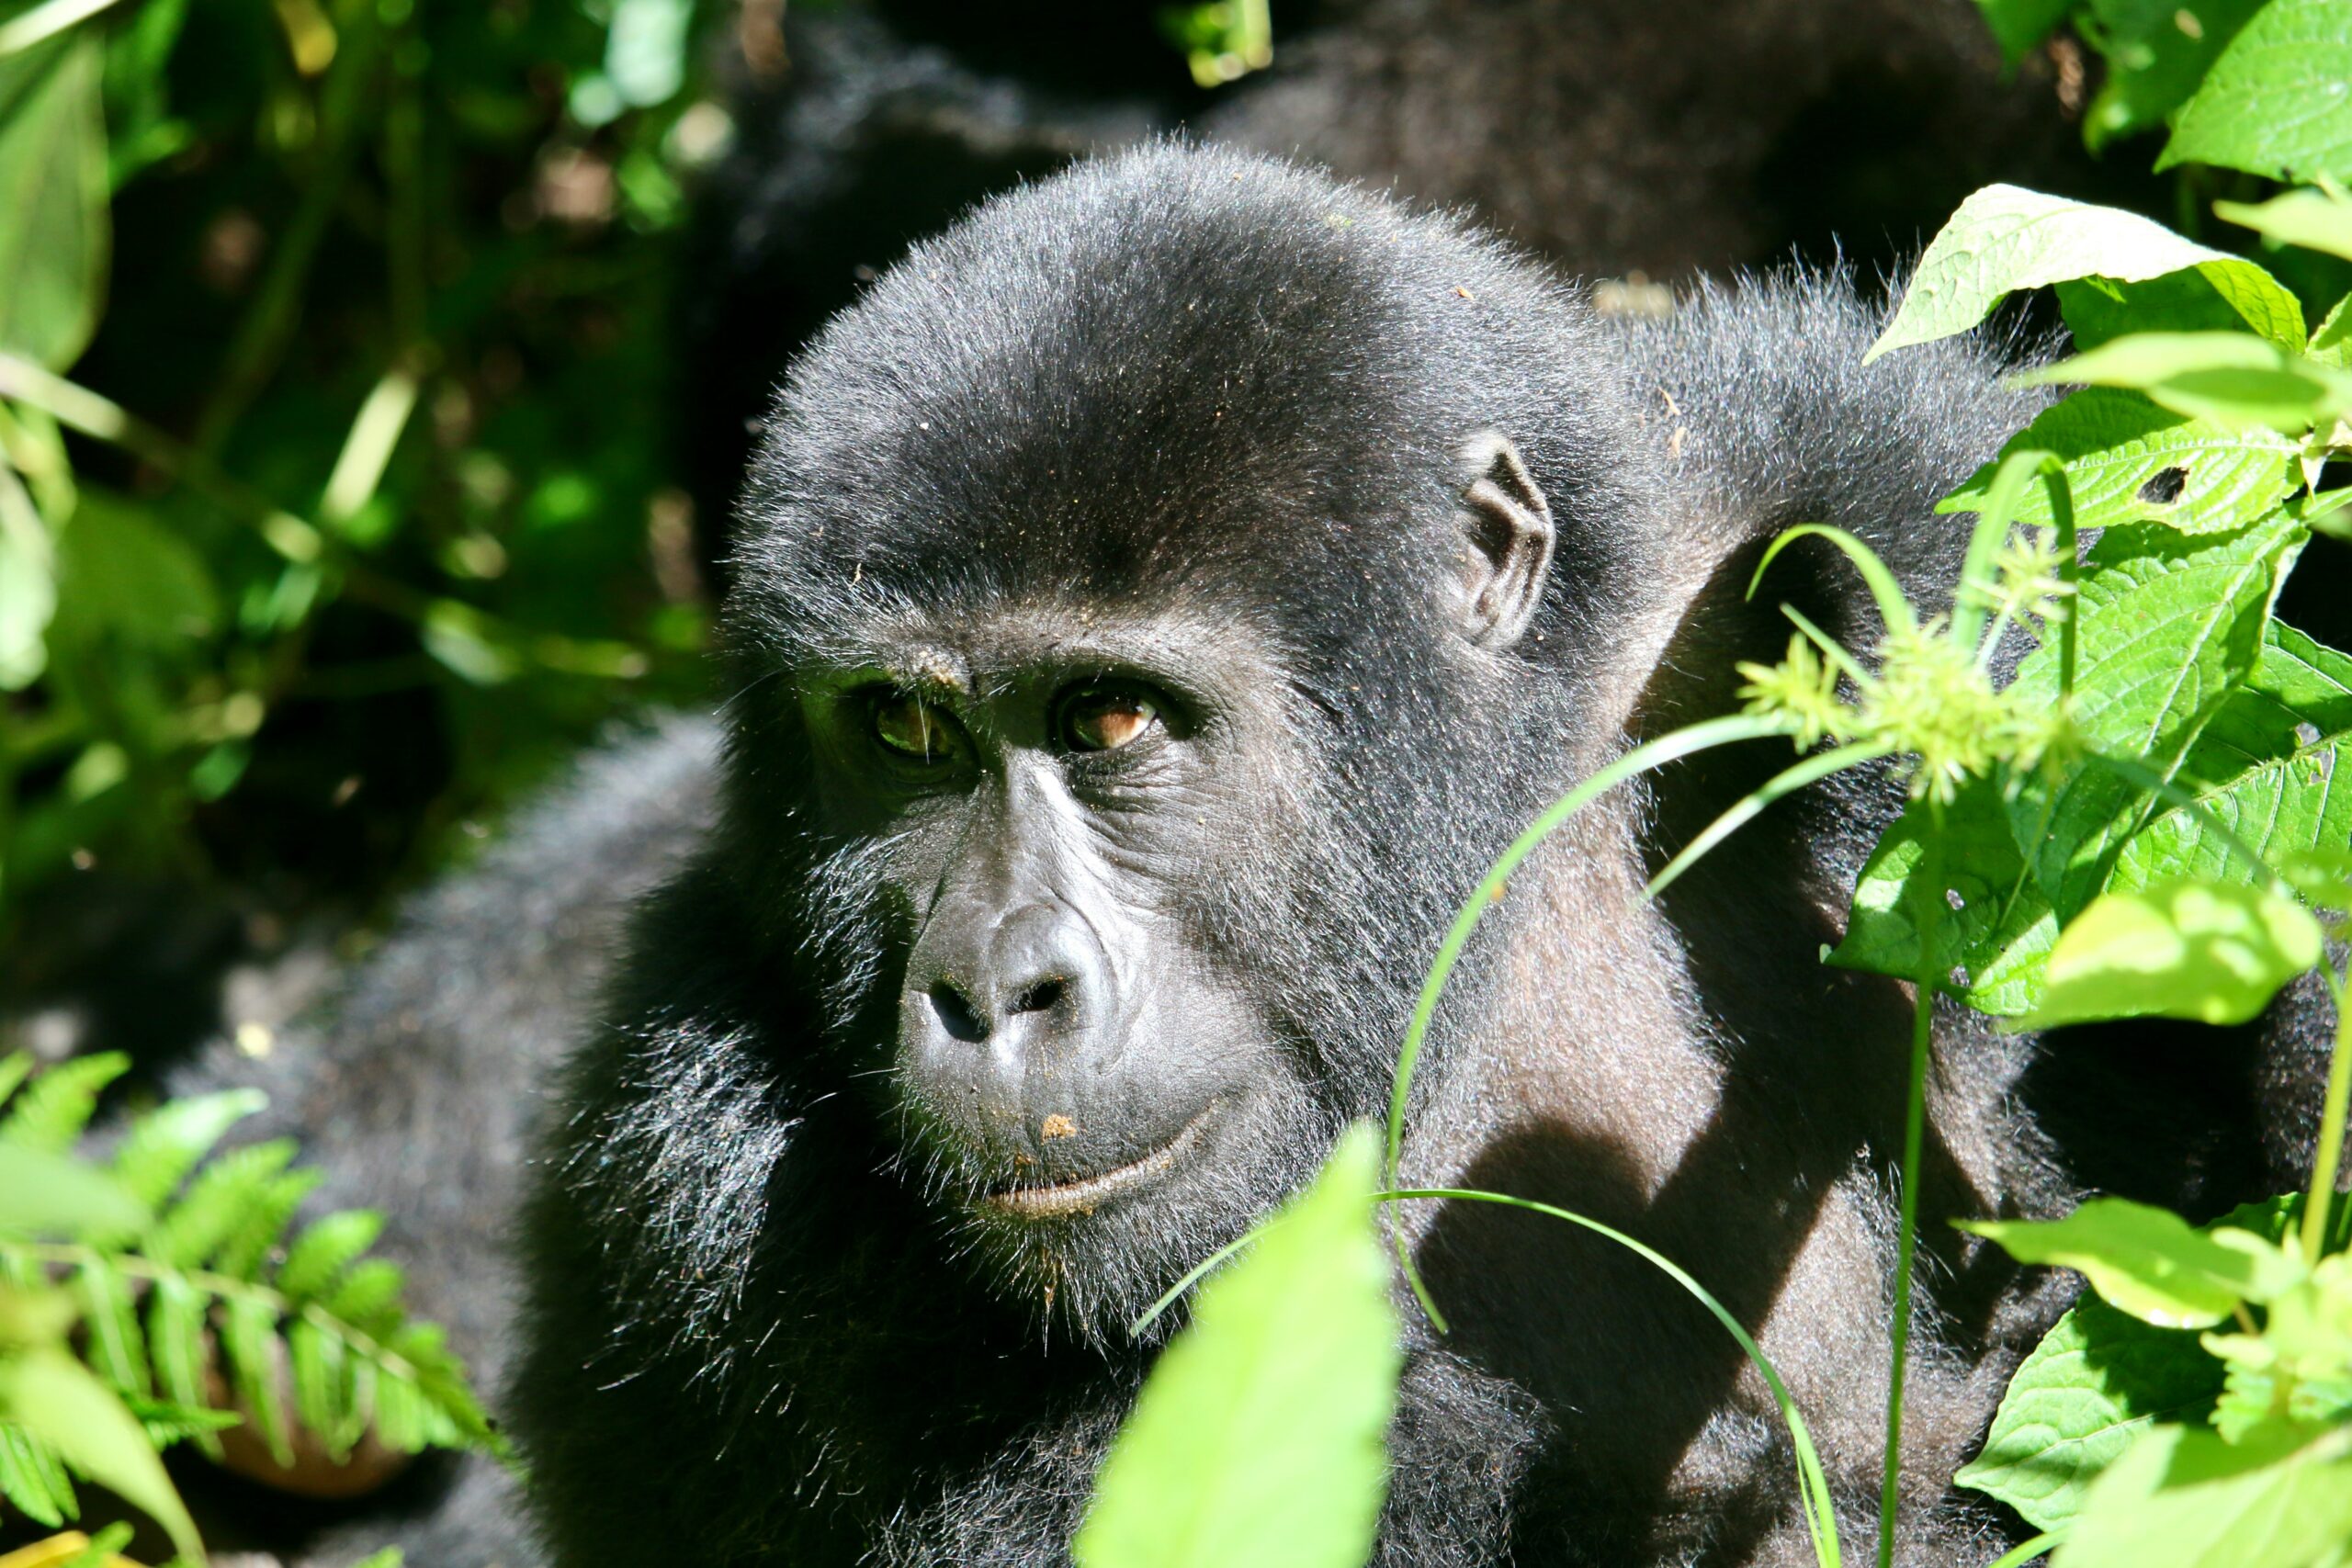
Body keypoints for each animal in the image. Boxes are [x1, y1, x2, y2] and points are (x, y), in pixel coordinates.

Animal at [481, 146, 2314, 1568]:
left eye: (1113, 720)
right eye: (907, 735)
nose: (995, 985)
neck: (1491, 875)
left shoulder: (1906, 501)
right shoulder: (702, 1166)